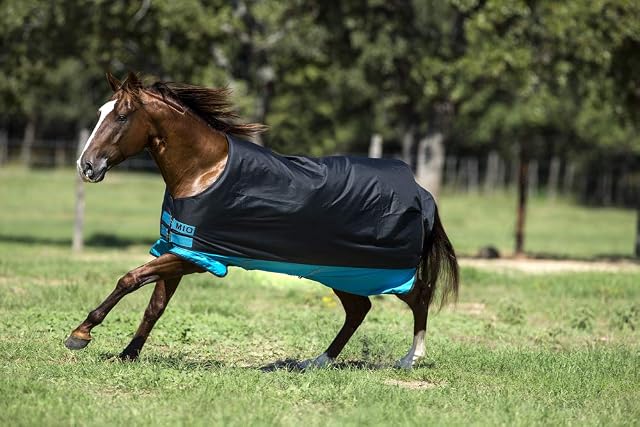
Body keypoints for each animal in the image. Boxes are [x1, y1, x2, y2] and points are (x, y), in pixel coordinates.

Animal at [65, 72, 459, 369]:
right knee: (359, 310)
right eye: (101, 111)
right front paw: (128, 354)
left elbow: (129, 279)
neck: (203, 171)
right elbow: (154, 306)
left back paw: (410, 359)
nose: (87, 166)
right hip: (344, 272)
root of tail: (421, 193)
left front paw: (80, 334)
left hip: (381, 271)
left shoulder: (200, 258)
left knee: (419, 296)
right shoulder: (181, 249)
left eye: (121, 116)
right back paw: (317, 362)